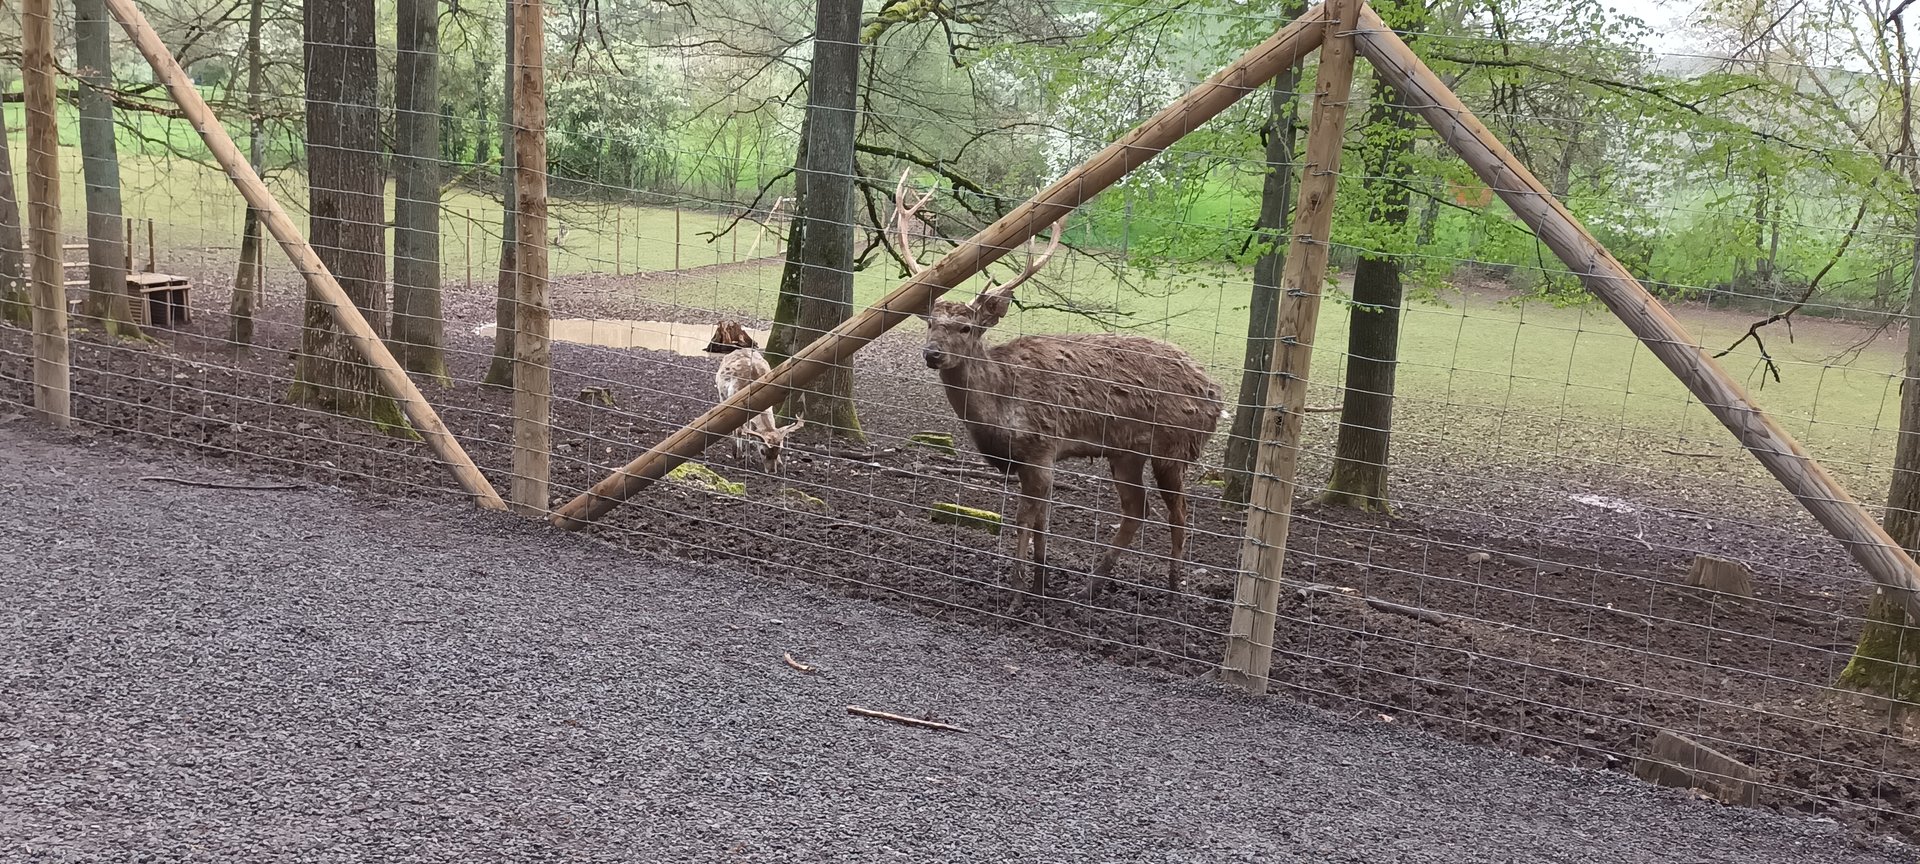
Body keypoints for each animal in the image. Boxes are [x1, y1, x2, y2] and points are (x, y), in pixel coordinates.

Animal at [708, 321, 805, 476]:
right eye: (763, 451)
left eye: (780, 451)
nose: (772, 470)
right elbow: (742, 432)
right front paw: (741, 456)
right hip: (722, 396)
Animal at [894, 172, 1224, 603]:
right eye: (930, 322)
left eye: (965, 327)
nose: (931, 353)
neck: (1001, 410)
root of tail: (1217, 395)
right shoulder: (1031, 460)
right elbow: (1042, 521)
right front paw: (1039, 582)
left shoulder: (1041, 447)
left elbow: (1023, 518)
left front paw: (1016, 591)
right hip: (1126, 452)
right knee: (1137, 510)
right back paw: (1091, 585)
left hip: (1174, 446)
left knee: (1179, 512)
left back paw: (1171, 589)